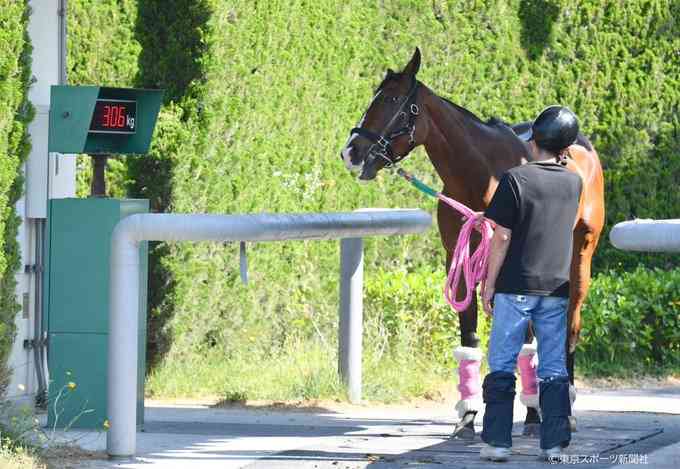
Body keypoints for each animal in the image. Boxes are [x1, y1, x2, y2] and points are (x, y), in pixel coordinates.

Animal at [340, 48, 605, 437]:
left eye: (393, 102)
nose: (351, 152)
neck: (483, 176)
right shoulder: (461, 258)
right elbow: (470, 337)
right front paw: (467, 416)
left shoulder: (517, 264)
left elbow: (526, 337)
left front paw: (531, 413)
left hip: (581, 252)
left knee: (570, 322)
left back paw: (563, 402)